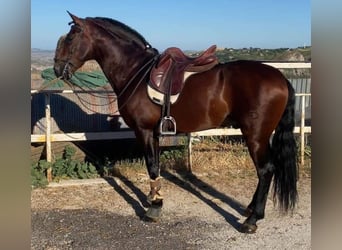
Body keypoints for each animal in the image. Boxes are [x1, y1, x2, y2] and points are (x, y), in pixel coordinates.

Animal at [53, 12, 296, 233]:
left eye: (71, 37)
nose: (56, 68)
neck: (135, 71)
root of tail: (281, 78)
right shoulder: (155, 133)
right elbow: (156, 166)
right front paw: (153, 198)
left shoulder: (143, 131)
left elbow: (152, 165)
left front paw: (154, 208)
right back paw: (250, 209)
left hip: (255, 135)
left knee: (265, 170)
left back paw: (252, 220)